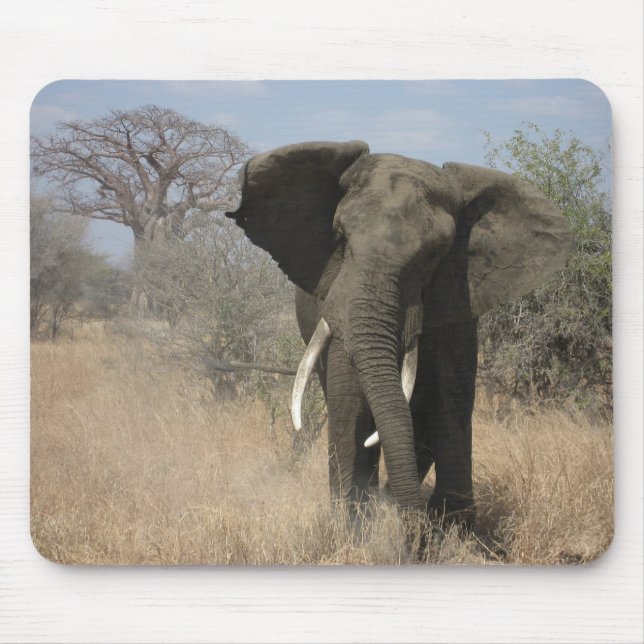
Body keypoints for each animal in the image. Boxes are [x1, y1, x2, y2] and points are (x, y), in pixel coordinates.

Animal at [225, 140, 573, 527]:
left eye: (434, 255)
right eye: (340, 238)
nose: (410, 531)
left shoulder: (458, 299)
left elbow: (451, 396)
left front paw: (452, 526)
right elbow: (350, 397)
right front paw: (351, 526)